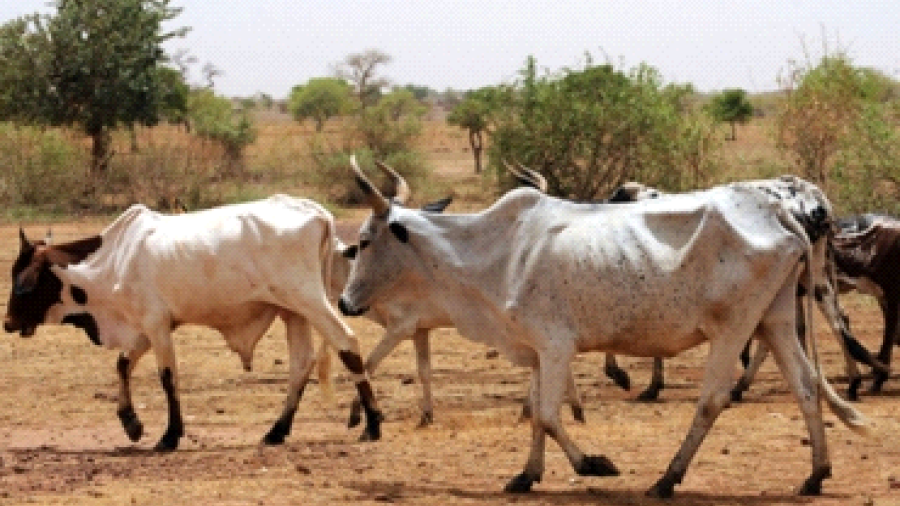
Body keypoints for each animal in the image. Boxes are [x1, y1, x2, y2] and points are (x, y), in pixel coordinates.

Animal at [4, 196, 384, 452]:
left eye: (23, 285)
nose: (7, 323)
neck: (114, 258)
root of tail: (316, 212)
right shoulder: (149, 327)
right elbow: (123, 364)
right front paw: (131, 423)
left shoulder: (156, 325)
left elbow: (167, 378)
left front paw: (169, 436)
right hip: (293, 312)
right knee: (301, 364)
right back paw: (277, 431)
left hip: (309, 301)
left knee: (347, 343)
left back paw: (373, 423)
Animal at [340, 161, 872, 498]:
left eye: (363, 241)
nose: (345, 302)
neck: (497, 251)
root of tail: (782, 211)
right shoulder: (538, 351)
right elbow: (536, 415)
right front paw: (526, 475)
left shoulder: (556, 346)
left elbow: (549, 416)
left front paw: (592, 463)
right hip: (776, 318)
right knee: (806, 387)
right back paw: (816, 474)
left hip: (735, 326)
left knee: (713, 399)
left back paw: (667, 479)